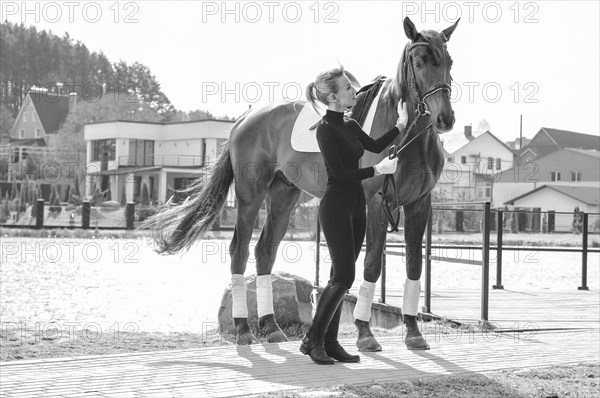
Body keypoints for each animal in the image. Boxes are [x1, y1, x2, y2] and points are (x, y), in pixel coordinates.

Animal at [148, 17, 458, 350]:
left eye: (448, 61)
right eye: (419, 62)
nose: (445, 119)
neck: (409, 139)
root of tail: (246, 117)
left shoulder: (419, 205)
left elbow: (414, 265)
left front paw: (413, 332)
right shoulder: (377, 202)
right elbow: (372, 265)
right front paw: (365, 332)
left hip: (284, 196)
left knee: (264, 253)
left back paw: (271, 327)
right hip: (250, 196)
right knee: (239, 251)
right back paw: (244, 329)